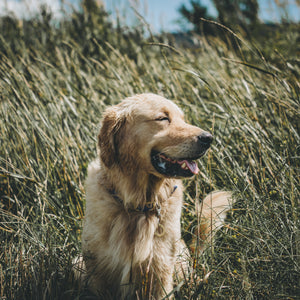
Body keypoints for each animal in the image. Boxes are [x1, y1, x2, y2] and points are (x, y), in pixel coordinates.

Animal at [82, 93, 234, 298]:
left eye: (182, 119)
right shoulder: (96, 271)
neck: (138, 205)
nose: (208, 138)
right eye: (163, 118)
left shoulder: (158, 271)